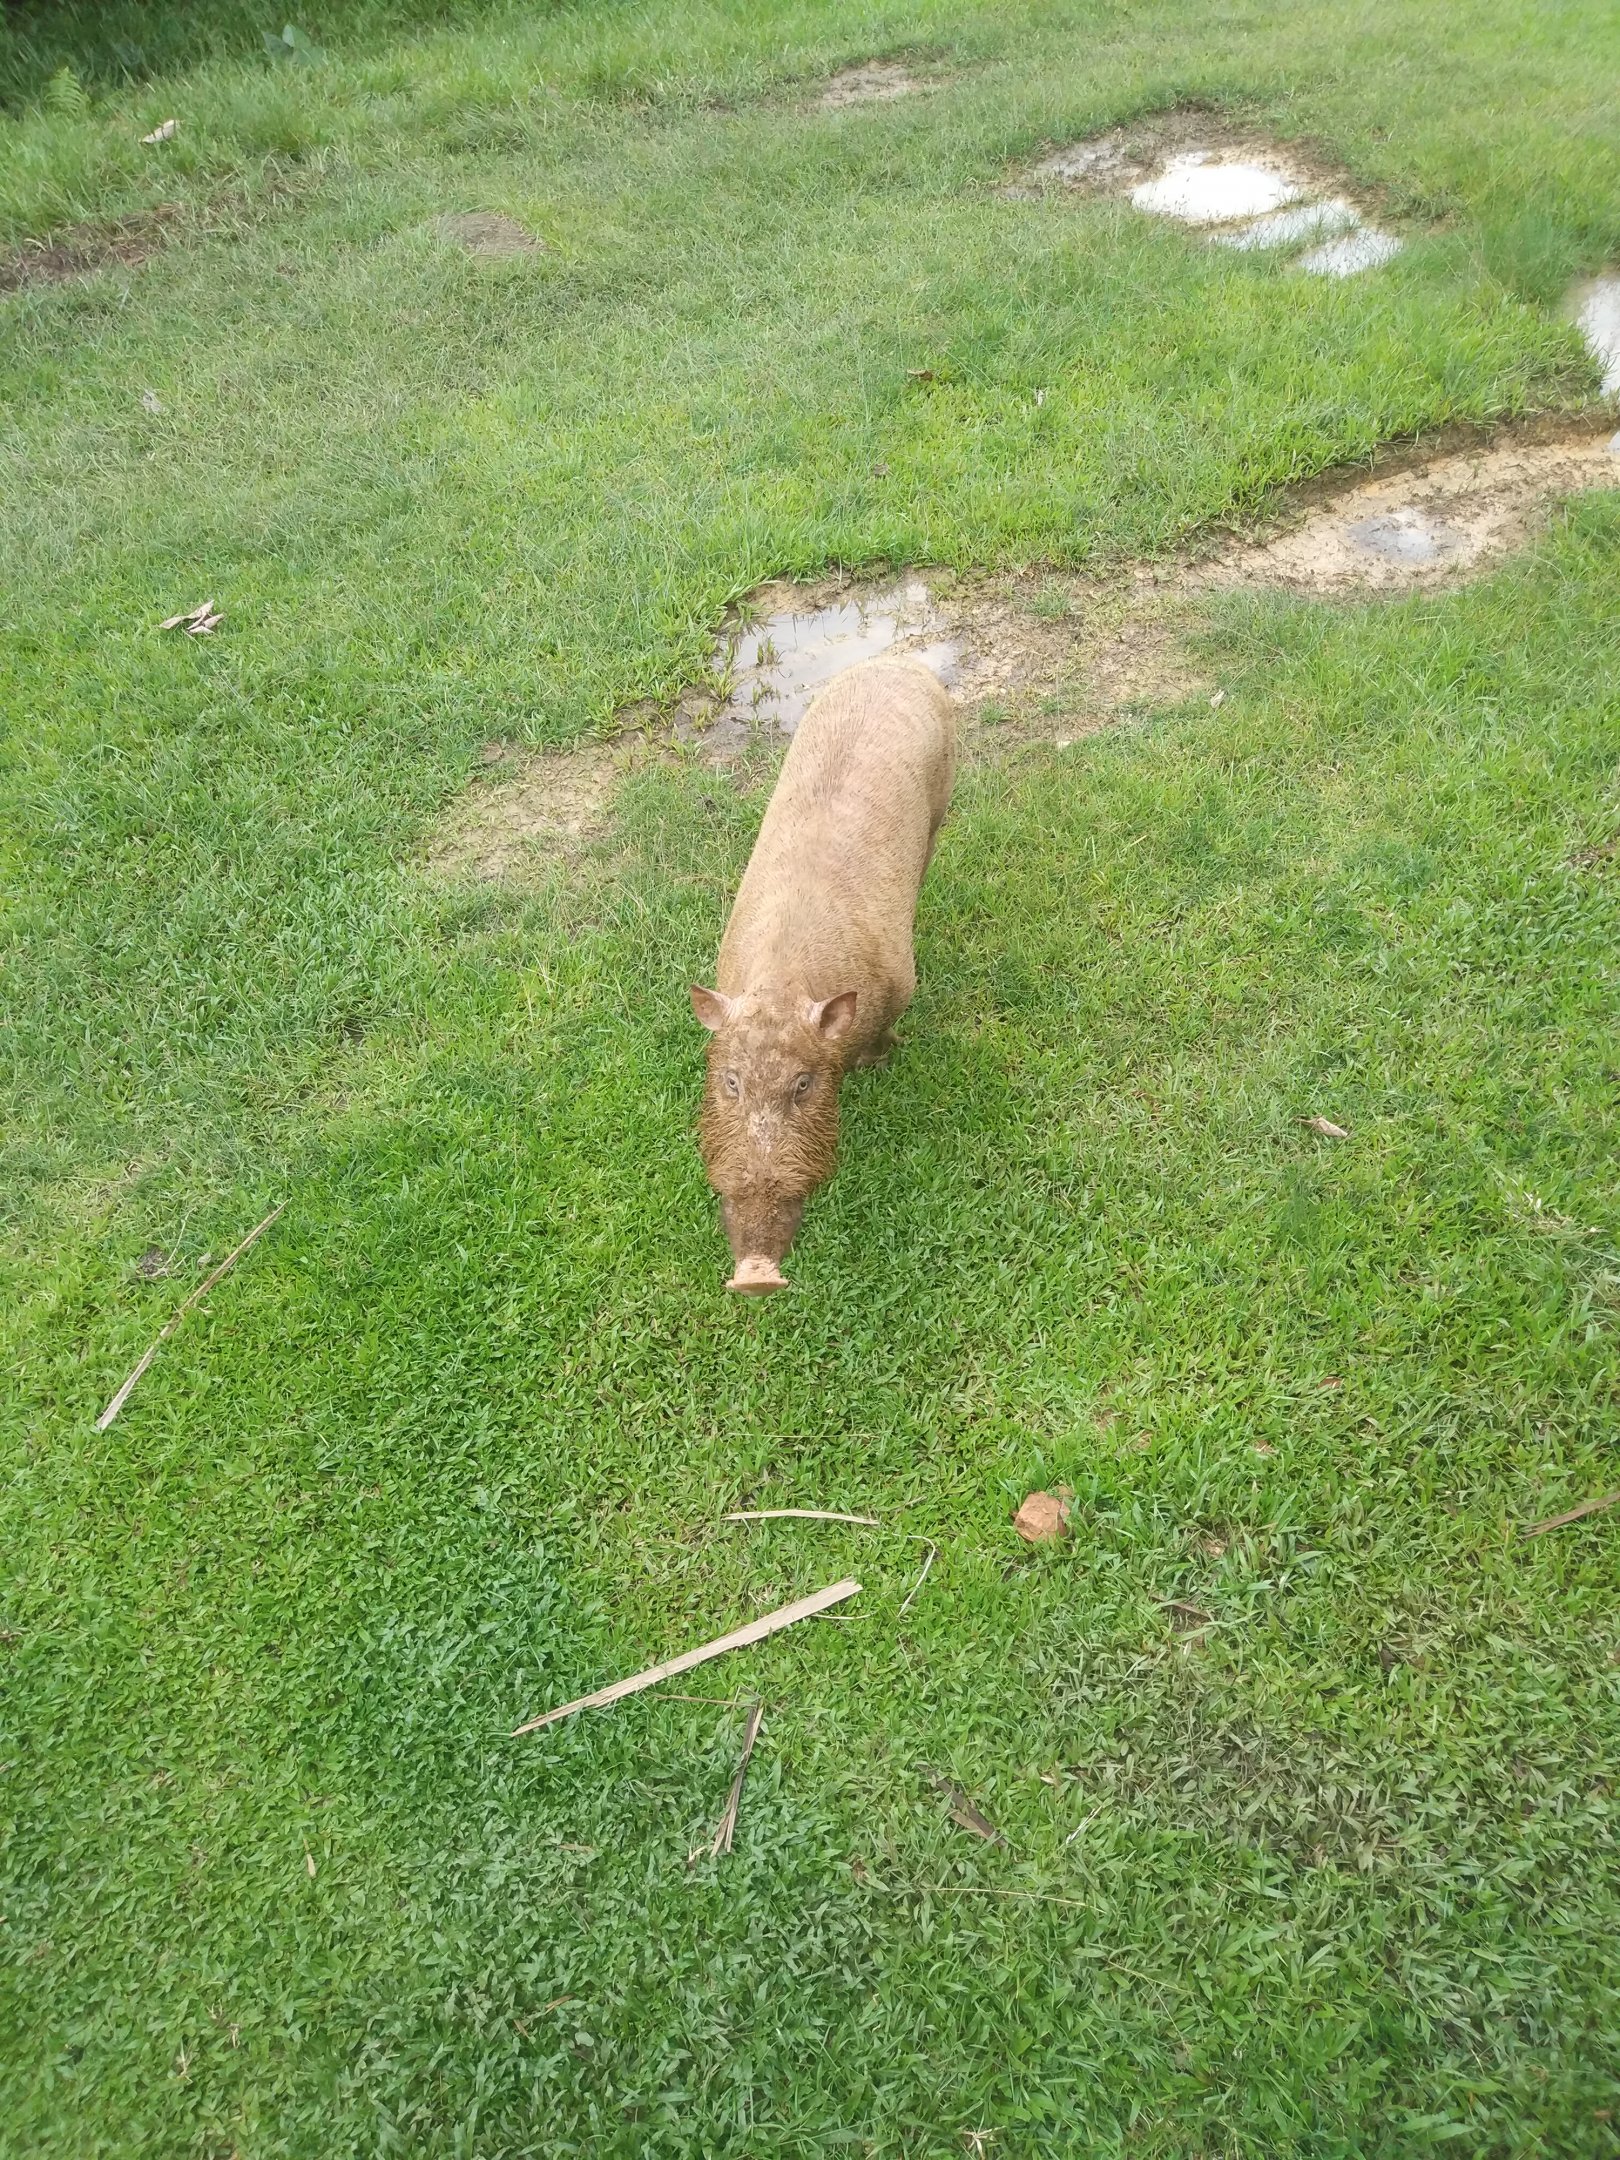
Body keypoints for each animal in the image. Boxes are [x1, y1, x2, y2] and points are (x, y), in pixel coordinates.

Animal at [689, 655, 955, 1292]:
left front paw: (877, 1063)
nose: (756, 1276)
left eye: (803, 1086)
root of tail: (901, 661)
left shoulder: (900, 982)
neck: (783, 985)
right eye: (730, 1082)